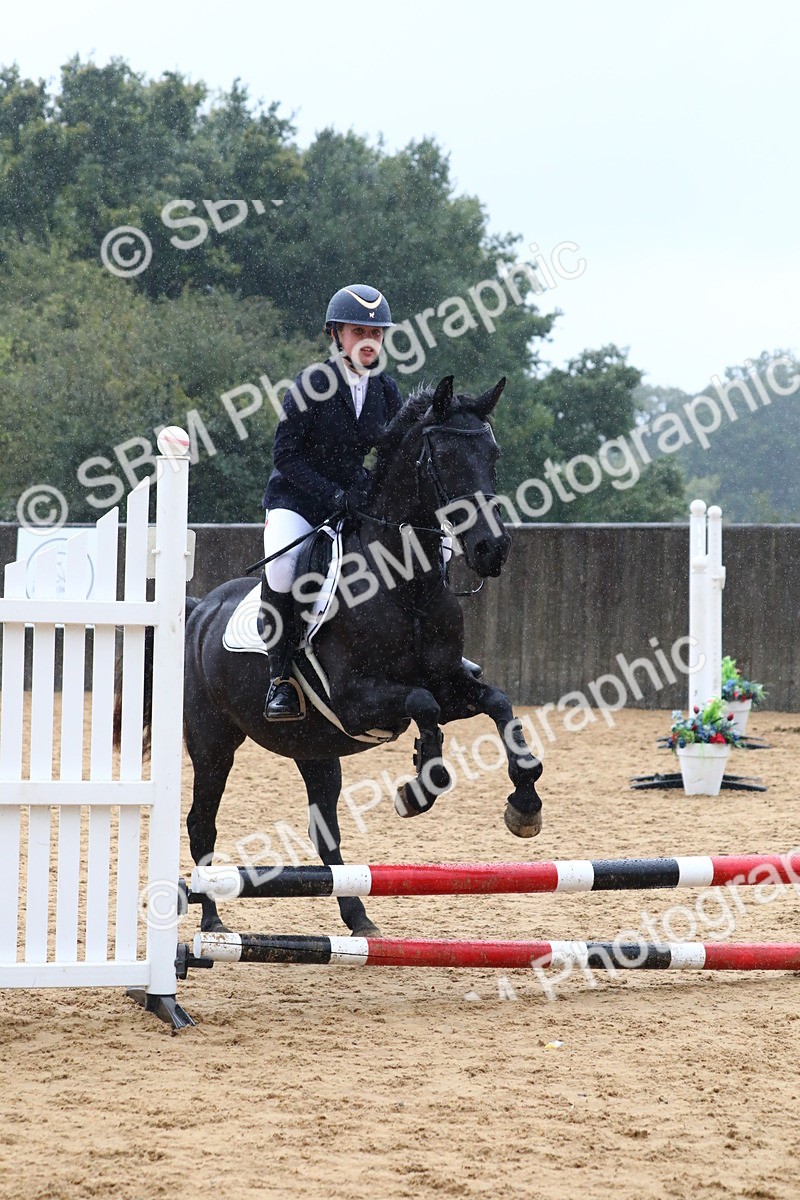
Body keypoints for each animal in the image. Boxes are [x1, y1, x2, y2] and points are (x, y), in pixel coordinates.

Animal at [147, 375, 544, 937]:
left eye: (493, 453)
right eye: (443, 456)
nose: (493, 549)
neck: (406, 585)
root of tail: (200, 608)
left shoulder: (450, 685)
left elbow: (499, 703)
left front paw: (525, 803)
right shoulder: (357, 701)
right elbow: (421, 705)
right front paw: (420, 786)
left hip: (313, 748)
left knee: (325, 831)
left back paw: (359, 918)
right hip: (213, 742)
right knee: (202, 822)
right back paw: (214, 919)